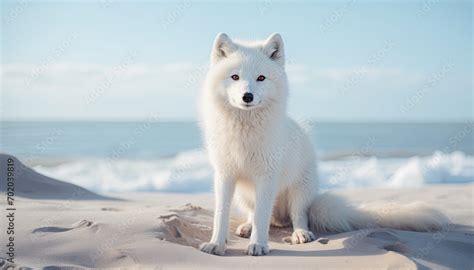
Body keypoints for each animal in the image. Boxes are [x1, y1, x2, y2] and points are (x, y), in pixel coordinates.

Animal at [198, 32, 450, 256]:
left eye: (261, 78)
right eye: (235, 77)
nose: (247, 97)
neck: (244, 131)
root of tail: (280, 216)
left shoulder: (267, 176)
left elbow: (262, 216)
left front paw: (258, 245)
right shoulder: (225, 175)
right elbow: (222, 215)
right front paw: (217, 244)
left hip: (301, 188)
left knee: (298, 216)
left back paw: (300, 233)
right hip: (244, 194)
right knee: (254, 214)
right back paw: (247, 227)